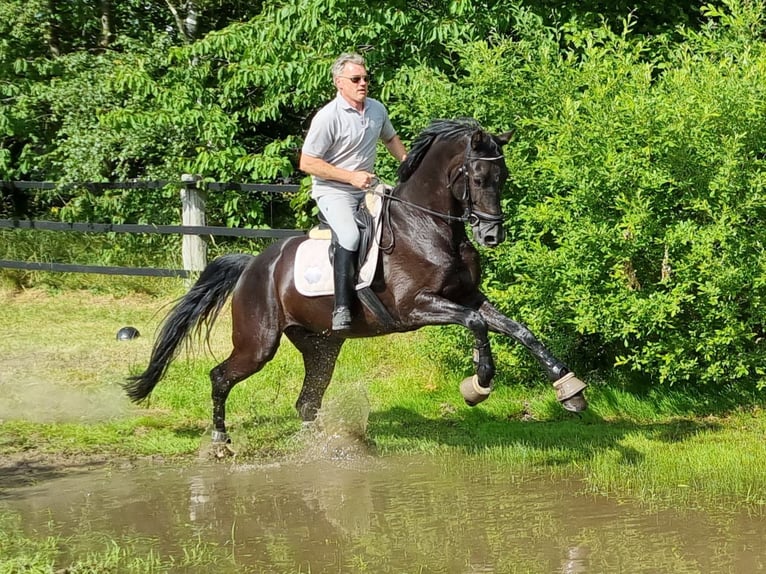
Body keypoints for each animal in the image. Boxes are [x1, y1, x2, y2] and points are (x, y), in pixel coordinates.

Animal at [129, 117, 592, 450]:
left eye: (504, 176)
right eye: (477, 178)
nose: (492, 236)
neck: (429, 226)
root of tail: (253, 266)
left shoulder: (468, 296)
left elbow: (519, 330)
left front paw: (569, 390)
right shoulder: (418, 307)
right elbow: (477, 325)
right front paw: (477, 385)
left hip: (321, 345)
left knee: (307, 401)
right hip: (258, 343)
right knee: (221, 377)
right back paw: (220, 440)